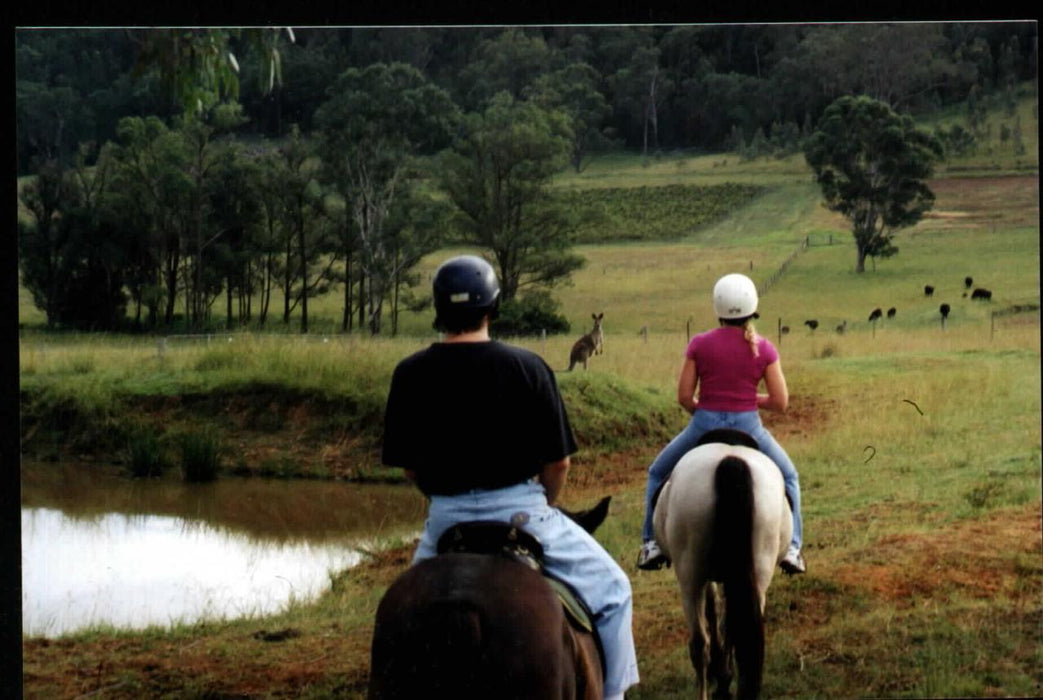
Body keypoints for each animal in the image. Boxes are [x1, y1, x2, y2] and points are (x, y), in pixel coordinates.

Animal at [650, 429, 788, 696]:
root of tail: (730, 460)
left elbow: (712, 608)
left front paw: (720, 673)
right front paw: (723, 672)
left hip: (689, 574)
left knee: (698, 643)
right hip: (760, 568)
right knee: (741, 628)